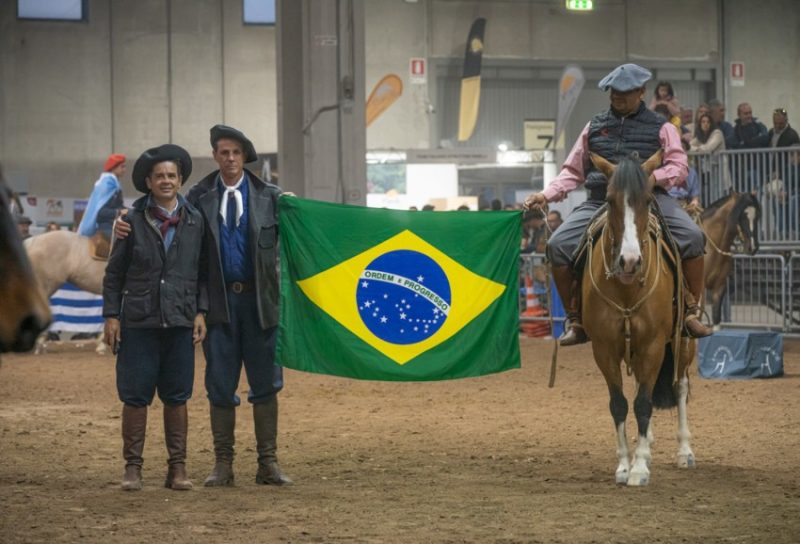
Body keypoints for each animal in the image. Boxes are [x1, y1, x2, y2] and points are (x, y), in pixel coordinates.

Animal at [584, 153, 696, 488]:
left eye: (648, 199)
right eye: (609, 200)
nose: (630, 261)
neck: (627, 288)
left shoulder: (654, 345)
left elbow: (644, 403)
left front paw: (640, 468)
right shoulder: (604, 349)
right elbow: (620, 403)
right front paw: (624, 465)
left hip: (683, 342)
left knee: (680, 386)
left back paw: (684, 451)